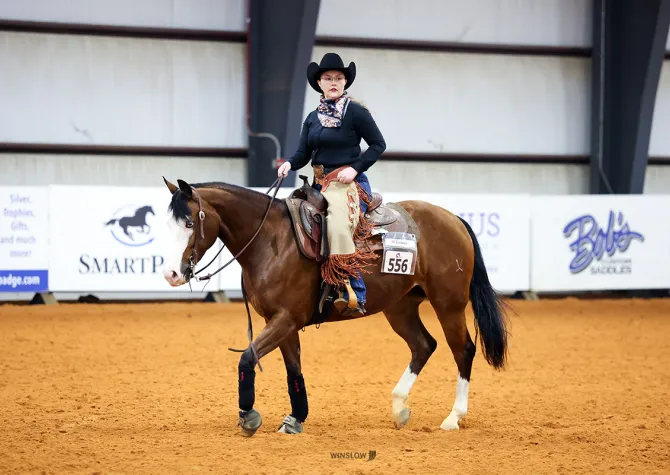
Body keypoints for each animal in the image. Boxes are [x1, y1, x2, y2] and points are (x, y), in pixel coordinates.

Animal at [160, 176, 510, 436]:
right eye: (168, 224)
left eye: (189, 222)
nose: (172, 274)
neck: (272, 241)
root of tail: (454, 219)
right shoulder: (283, 322)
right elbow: (293, 371)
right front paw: (295, 418)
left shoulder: (285, 319)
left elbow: (247, 358)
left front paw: (248, 416)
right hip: (400, 307)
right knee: (424, 345)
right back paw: (399, 408)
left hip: (448, 304)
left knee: (462, 349)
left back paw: (453, 417)